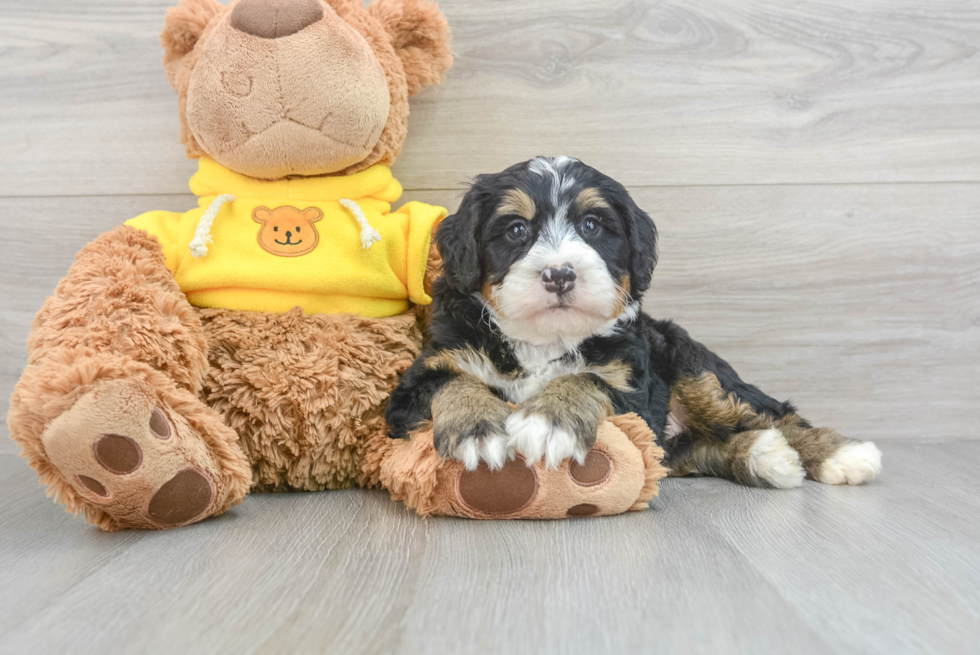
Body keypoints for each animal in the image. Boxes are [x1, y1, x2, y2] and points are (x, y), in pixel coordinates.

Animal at [386, 158, 884, 486]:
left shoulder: (631, 389)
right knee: (701, 447)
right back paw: (766, 456)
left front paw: (550, 421)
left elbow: (586, 379)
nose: (560, 274)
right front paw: (477, 428)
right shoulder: (420, 381)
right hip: (674, 437)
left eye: (592, 225)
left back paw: (842, 454)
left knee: (772, 412)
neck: (543, 341)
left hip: (694, 368)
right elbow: (452, 383)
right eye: (516, 230)